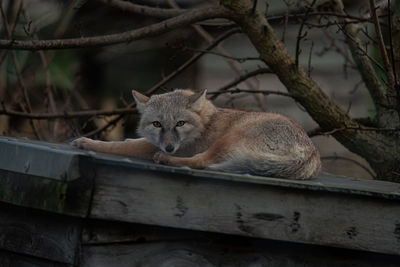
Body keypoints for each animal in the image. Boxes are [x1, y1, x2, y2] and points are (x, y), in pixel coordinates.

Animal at [72, 89, 320, 180]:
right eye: (157, 124)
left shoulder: (150, 147)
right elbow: (129, 140)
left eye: (180, 123)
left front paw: (86, 142)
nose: (169, 147)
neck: (204, 121)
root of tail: (310, 153)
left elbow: (117, 146)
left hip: (226, 140)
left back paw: (167, 160)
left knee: (201, 162)